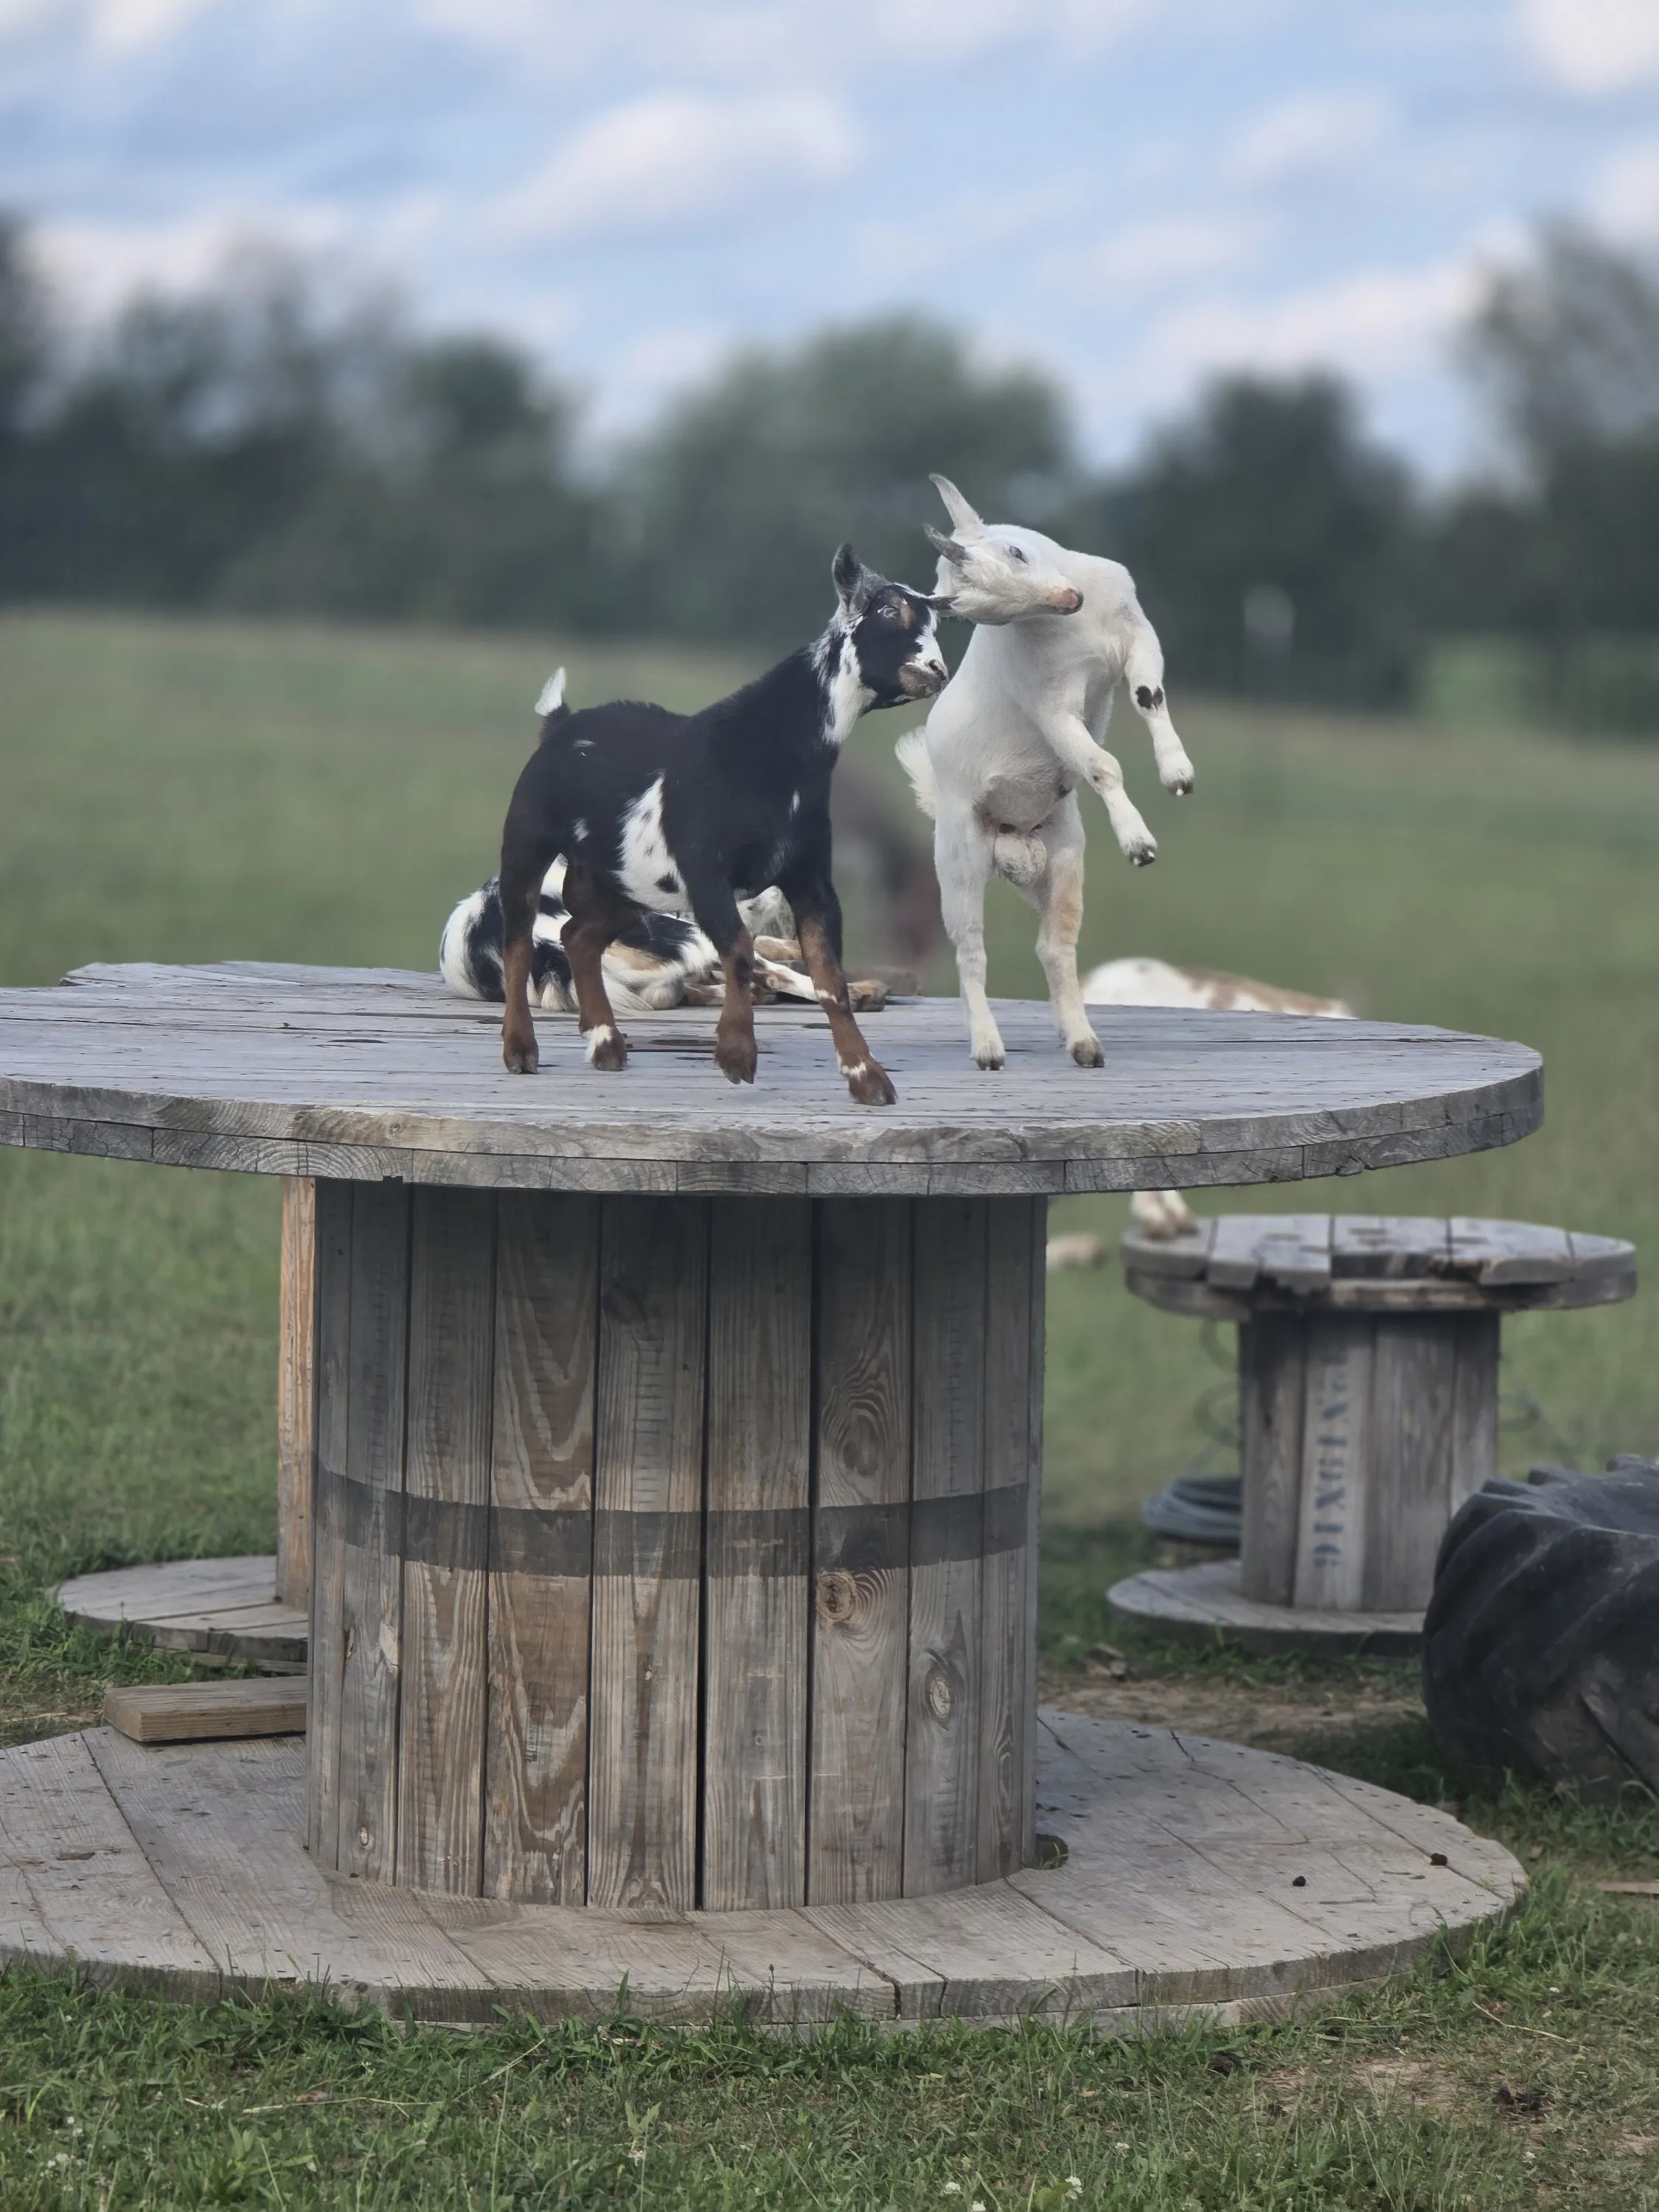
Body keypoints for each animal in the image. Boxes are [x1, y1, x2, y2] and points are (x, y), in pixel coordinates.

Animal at [495, 546, 948, 1099]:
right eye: (887, 610)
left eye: (936, 620)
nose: (937, 670)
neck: (770, 750)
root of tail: (560, 725)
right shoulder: (706, 870)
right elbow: (739, 949)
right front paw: (736, 1054)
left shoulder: (811, 878)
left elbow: (829, 978)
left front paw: (867, 1078)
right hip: (527, 841)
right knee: (518, 939)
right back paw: (521, 1050)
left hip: (625, 881)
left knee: (578, 935)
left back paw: (606, 1044)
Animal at [897, 475, 1195, 1072]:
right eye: (973, 614)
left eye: (1017, 551)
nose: (1068, 600)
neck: (1077, 629)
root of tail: (1012, 846)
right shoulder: (1052, 708)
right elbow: (1101, 765)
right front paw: (1139, 844)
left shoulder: (1137, 636)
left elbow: (1149, 697)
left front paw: (1179, 774)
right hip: (959, 856)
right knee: (971, 948)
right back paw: (988, 1048)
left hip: (1062, 856)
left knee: (1054, 946)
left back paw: (1082, 1042)